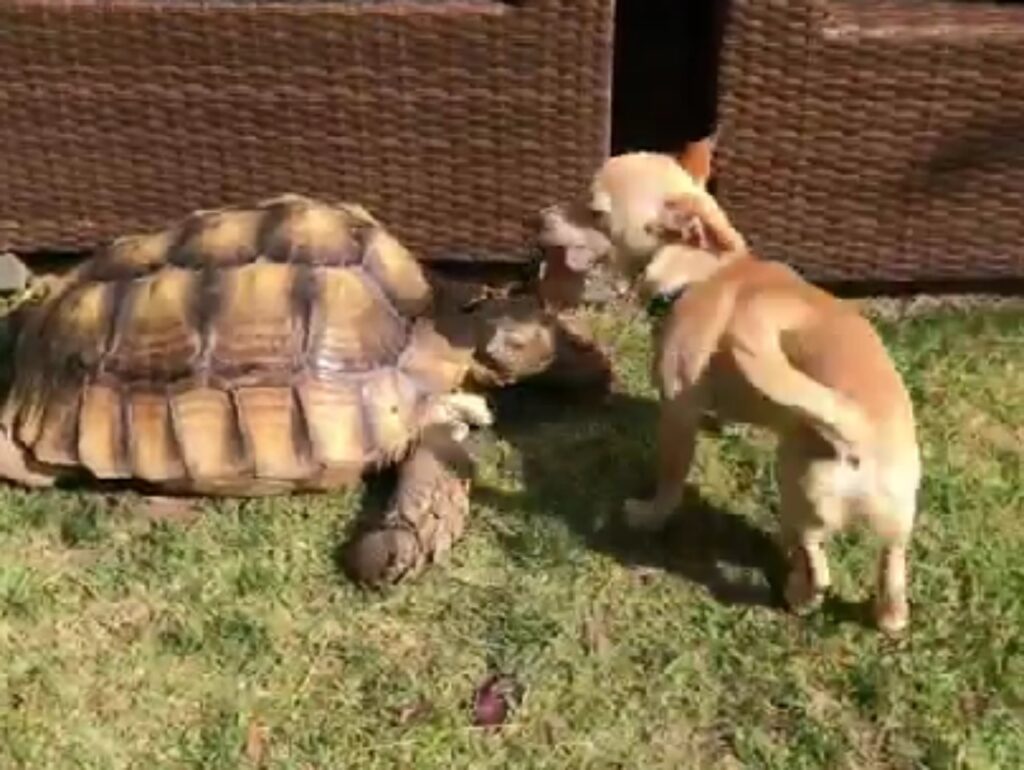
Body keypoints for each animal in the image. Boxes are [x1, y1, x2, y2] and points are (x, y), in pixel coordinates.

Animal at [540, 150, 925, 630]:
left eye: (595, 211)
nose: (540, 217)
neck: (702, 271)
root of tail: (855, 428)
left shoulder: (677, 415)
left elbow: (670, 480)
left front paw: (649, 515)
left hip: (797, 484)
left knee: (817, 566)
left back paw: (798, 595)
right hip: (896, 521)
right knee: (892, 572)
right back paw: (886, 616)